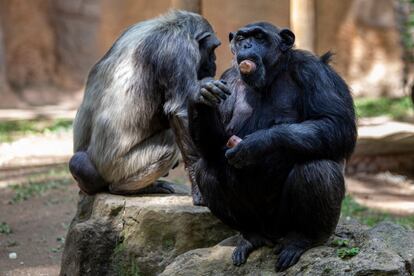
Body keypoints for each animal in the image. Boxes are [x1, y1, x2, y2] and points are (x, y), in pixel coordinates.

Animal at [189, 22, 358, 272]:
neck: (271, 75)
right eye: (241, 38)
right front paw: (203, 93)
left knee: (317, 169)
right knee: (207, 169)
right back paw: (251, 237)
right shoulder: (228, 79)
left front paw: (255, 145)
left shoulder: (314, 72)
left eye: (259, 37)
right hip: (261, 222)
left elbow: (335, 123)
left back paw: (303, 239)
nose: (247, 45)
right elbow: (213, 145)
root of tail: (273, 234)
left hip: (286, 223)